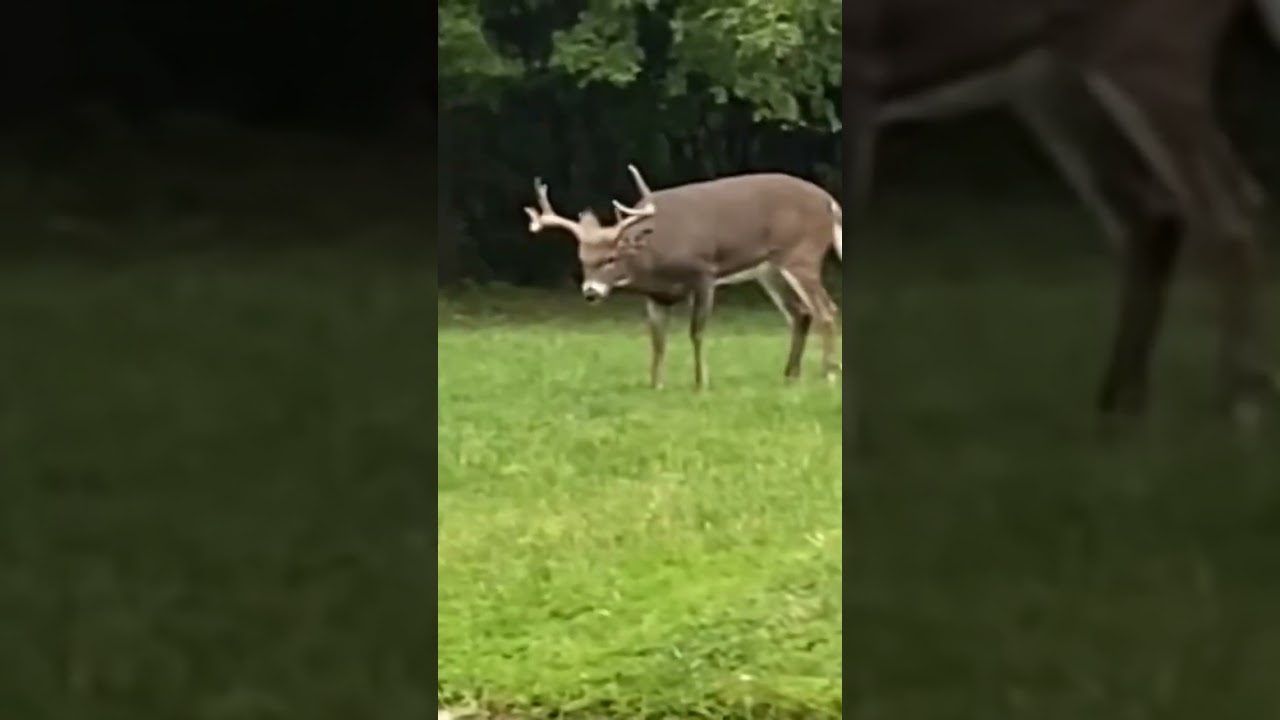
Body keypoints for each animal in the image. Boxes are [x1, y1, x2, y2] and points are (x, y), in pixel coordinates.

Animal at [523, 165, 843, 391]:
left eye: (611, 258)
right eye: (583, 260)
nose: (591, 292)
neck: (656, 258)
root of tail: (831, 203)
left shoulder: (704, 274)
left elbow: (696, 331)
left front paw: (701, 383)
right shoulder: (656, 297)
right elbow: (658, 340)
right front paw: (656, 385)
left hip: (802, 254)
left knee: (826, 310)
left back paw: (827, 374)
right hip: (769, 269)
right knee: (801, 313)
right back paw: (790, 375)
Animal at [846, 0, 1280, 431]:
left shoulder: (862, 76)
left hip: (1152, 53)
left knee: (1232, 208)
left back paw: (1240, 403)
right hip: (1055, 83)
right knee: (1153, 215)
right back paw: (1122, 404)